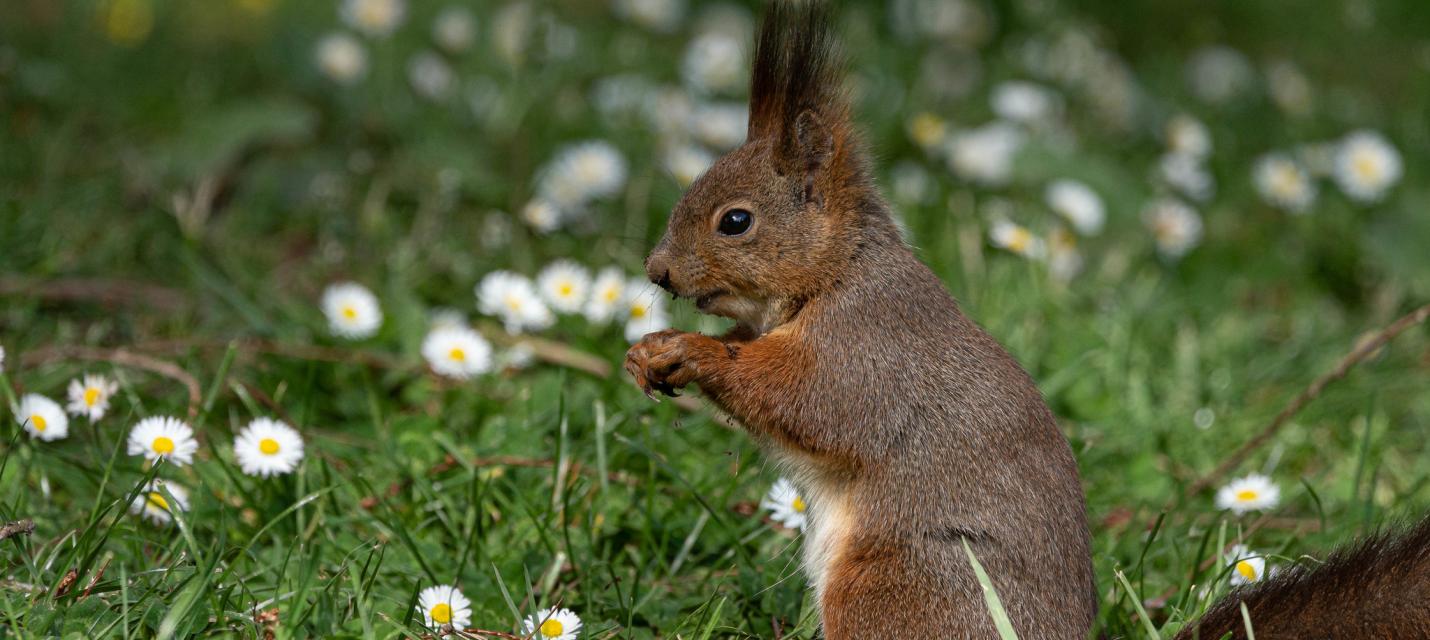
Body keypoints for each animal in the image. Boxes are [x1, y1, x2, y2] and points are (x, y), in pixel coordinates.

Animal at [624, 2, 1430, 638]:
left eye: (735, 221)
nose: (656, 273)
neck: (836, 276)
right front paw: (650, 350)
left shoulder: (870, 346)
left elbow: (813, 403)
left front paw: (694, 353)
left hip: (902, 585)